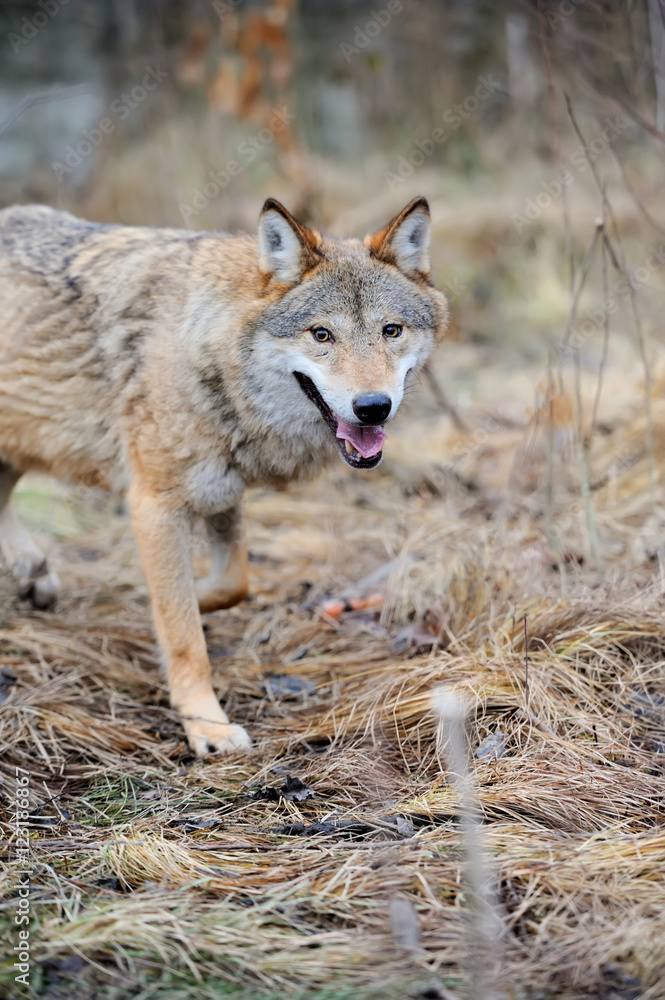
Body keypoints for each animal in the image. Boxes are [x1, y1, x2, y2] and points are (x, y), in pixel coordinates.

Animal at [0, 197, 448, 752]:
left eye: (392, 330)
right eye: (322, 334)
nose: (372, 407)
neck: (209, 353)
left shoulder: (222, 490)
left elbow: (233, 582)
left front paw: (172, 601)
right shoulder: (154, 506)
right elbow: (184, 634)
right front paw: (205, 725)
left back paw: (33, 573)